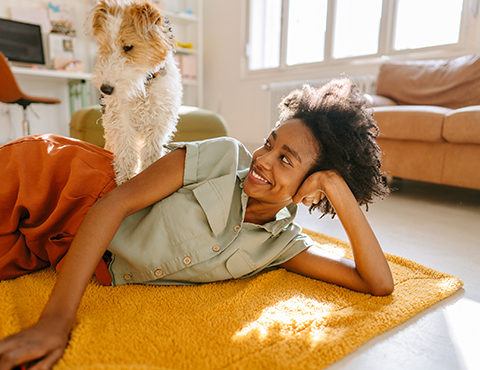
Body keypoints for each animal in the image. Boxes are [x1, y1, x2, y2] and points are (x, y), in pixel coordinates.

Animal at [88, 0, 182, 185]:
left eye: (128, 47)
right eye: (104, 47)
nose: (105, 89)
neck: (144, 84)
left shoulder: (161, 119)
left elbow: (151, 151)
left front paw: (148, 172)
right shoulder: (120, 118)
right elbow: (126, 152)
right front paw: (125, 179)